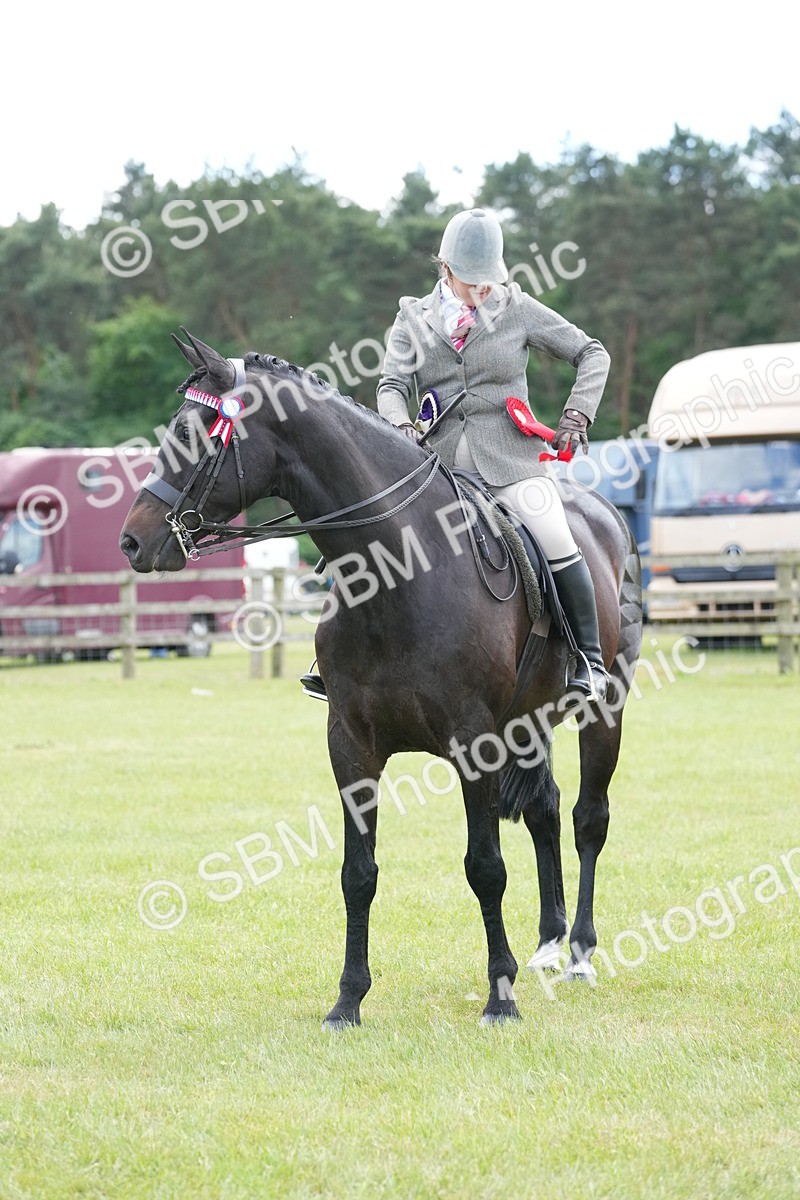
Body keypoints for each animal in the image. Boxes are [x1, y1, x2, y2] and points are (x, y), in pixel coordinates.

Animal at [119, 331, 643, 1029]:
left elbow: (485, 867)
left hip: (603, 710)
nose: (132, 541)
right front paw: (348, 999)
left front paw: (498, 997)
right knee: (546, 811)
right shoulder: (352, 744)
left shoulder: (474, 742)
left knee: (588, 817)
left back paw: (581, 951)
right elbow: (357, 873)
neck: (397, 569)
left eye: (195, 433)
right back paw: (549, 944)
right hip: (528, 722)